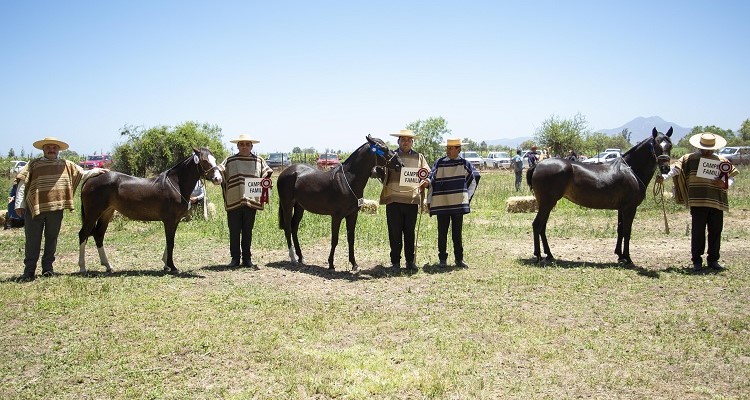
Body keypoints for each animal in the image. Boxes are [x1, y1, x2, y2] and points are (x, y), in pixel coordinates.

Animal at [78, 148, 223, 274]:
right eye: (204, 160)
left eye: (214, 159)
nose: (218, 179)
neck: (175, 185)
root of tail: (90, 178)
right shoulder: (170, 220)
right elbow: (170, 242)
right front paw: (172, 266)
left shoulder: (175, 221)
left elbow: (170, 241)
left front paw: (166, 264)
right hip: (93, 214)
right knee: (83, 234)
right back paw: (82, 267)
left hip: (106, 213)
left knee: (98, 236)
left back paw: (108, 266)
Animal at [278, 135, 406, 272]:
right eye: (383, 148)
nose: (400, 164)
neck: (348, 181)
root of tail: (286, 172)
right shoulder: (336, 216)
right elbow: (335, 240)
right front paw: (331, 264)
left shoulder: (352, 215)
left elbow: (351, 239)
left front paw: (354, 264)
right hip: (287, 205)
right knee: (287, 228)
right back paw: (293, 258)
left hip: (299, 207)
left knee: (294, 228)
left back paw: (301, 257)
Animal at [528, 128, 676, 264]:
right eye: (656, 145)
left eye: (670, 145)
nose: (665, 168)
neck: (631, 170)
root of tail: (537, 165)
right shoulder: (630, 208)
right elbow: (627, 231)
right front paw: (628, 258)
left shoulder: (622, 208)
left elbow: (620, 229)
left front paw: (620, 255)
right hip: (547, 203)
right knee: (537, 225)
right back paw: (539, 256)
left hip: (547, 204)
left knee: (542, 226)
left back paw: (549, 254)